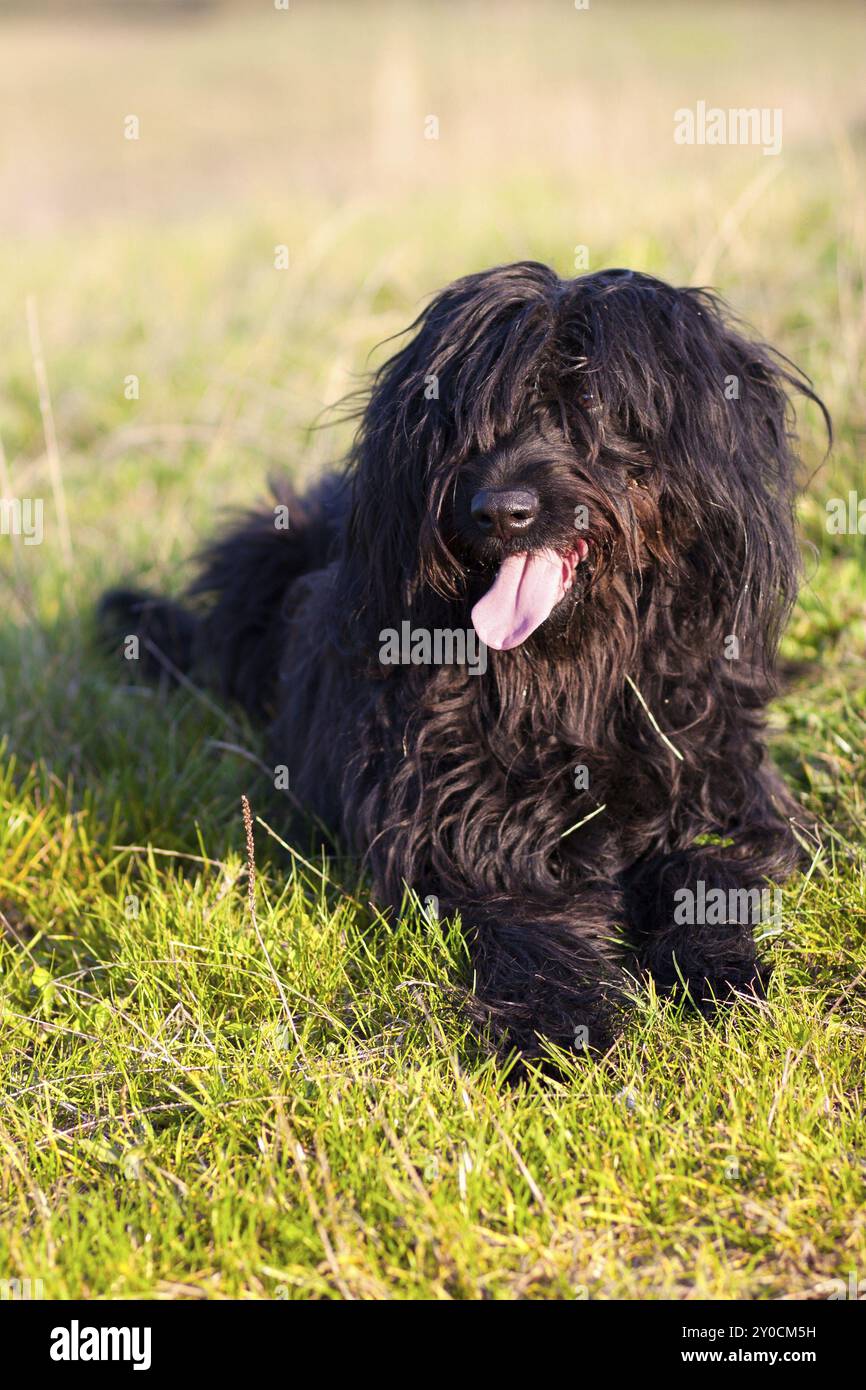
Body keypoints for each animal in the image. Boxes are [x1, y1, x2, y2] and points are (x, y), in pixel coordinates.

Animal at [97, 262, 828, 1061]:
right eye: (465, 418)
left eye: (590, 404)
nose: (500, 510)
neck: (572, 675)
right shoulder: (460, 833)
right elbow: (527, 921)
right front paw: (558, 1027)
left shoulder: (722, 783)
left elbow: (703, 865)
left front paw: (721, 975)